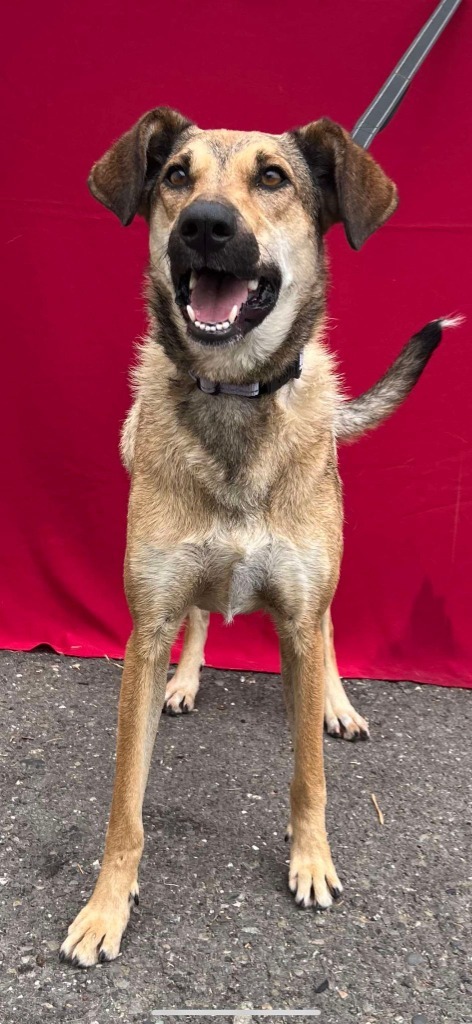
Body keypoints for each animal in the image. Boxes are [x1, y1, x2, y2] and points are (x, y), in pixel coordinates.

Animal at [58, 108, 452, 962]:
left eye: (273, 177)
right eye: (176, 176)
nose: (205, 225)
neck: (234, 392)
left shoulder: (300, 614)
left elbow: (309, 772)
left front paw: (311, 860)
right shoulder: (145, 627)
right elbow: (125, 802)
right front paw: (106, 907)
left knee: (330, 630)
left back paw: (336, 702)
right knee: (204, 614)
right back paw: (187, 681)